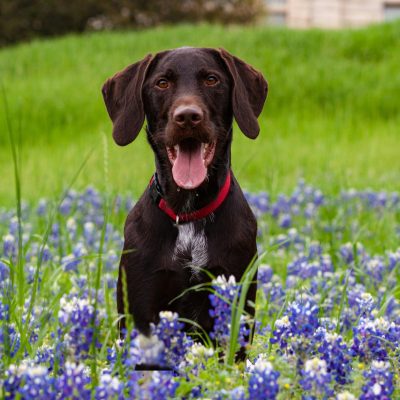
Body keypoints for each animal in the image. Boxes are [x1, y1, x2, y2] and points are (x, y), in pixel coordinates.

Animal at [101, 47, 268, 356]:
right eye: (162, 83)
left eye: (212, 79)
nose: (188, 116)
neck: (188, 212)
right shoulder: (142, 303)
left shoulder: (234, 294)